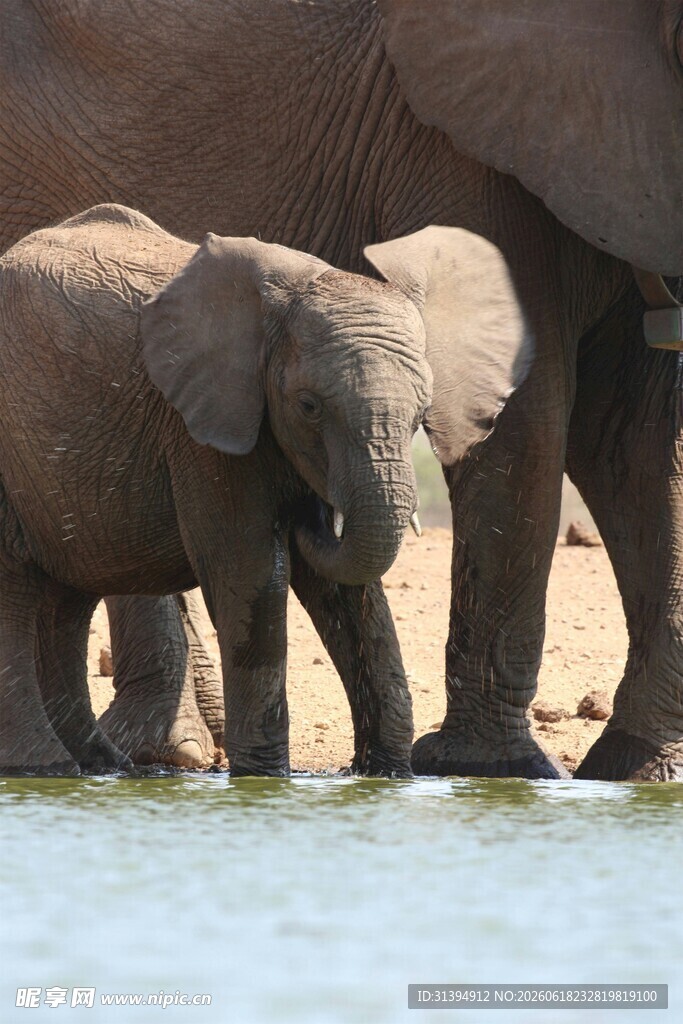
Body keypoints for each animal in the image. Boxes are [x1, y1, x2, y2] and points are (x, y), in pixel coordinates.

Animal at [0, 203, 530, 776]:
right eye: (309, 406)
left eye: (421, 413)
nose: (310, 515)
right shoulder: (203, 428)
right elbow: (251, 573)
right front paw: (264, 779)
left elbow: (348, 593)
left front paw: (385, 775)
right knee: (17, 590)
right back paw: (43, 767)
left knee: (66, 601)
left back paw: (98, 765)